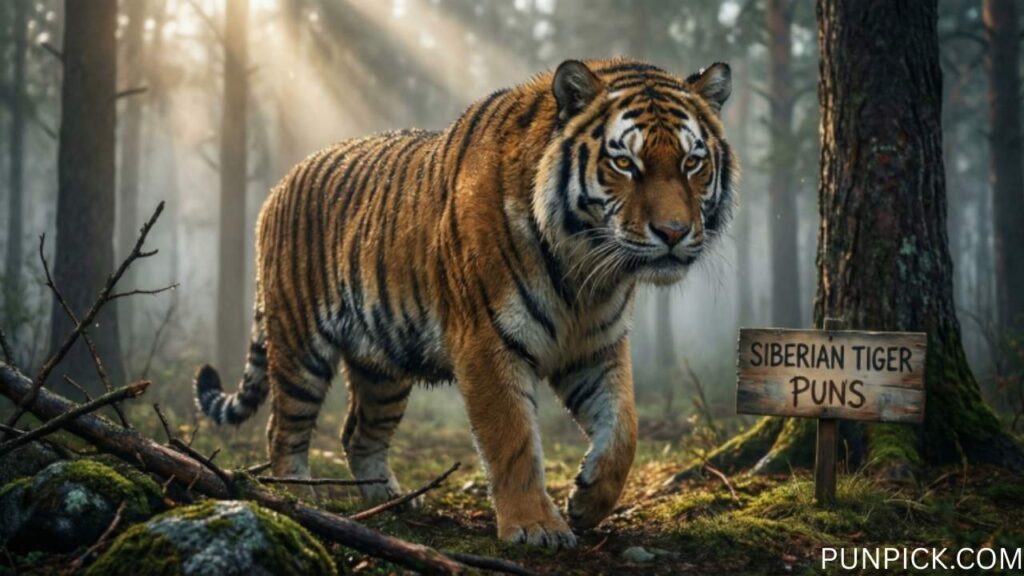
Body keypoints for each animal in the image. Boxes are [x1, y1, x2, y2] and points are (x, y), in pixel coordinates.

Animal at [195, 57, 737, 549]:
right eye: (625, 163)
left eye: (692, 162)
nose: (673, 233)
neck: (585, 271)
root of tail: (277, 187)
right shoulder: (487, 340)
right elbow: (513, 439)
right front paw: (535, 527)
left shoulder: (595, 346)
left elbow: (625, 428)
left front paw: (587, 502)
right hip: (299, 345)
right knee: (283, 428)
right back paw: (298, 498)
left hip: (383, 367)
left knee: (358, 433)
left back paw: (391, 501)